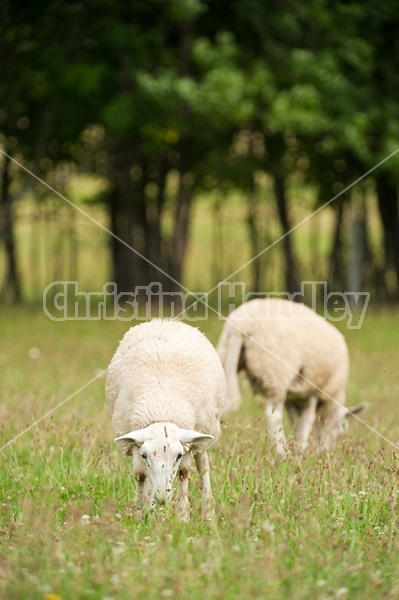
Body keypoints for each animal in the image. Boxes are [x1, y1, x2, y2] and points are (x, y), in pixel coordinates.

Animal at [104, 318, 227, 520]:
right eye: (145, 455)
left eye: (178, 455)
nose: (162, 499)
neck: (162, 406)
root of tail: (166, 320)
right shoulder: (134, 441)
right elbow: (140, 474)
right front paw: (143, 511)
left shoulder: (186, 444)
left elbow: (184, 473)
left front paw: (183, 515)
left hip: (202, 430)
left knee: (203, 465)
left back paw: (208, 513)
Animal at [217, 298, 368, 458]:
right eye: (340, 431)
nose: (323, 453)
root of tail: (242, 325)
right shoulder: (313, 390)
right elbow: (307, 421)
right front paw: (302, 451)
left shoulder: (293, 398)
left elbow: (296, 423)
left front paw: (298, 449)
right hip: (276, 374)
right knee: (273, 416)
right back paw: (282, 452)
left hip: (225, 360)